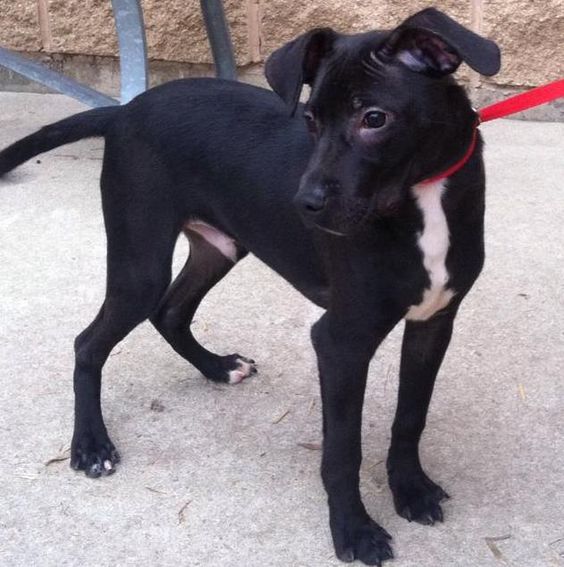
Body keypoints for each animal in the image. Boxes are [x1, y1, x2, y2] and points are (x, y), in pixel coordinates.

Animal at [1, 10, 502, 567]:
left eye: (375, 118)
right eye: (310, 120)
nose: (304, 204)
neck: (423, 198)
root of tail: (124, 111)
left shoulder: (434, 322)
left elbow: (411, 416)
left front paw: (409, 488)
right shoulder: (341, 341)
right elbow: (342, 451)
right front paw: (353, 530)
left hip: (220, 247)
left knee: (170, 313)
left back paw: (217, 367)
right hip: (140, 263)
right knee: (89, 342)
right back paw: (90, 444)